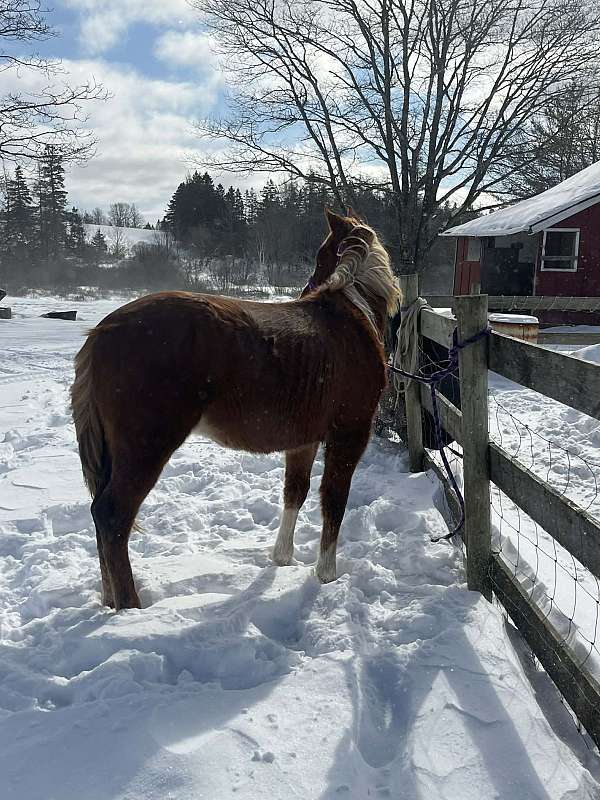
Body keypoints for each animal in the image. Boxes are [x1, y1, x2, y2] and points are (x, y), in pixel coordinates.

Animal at [71, 209, 401, 611]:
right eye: (322, 255)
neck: (351, 317)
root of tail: (102, 332)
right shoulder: (349, 435)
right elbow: (333, 499)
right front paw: (326, 574)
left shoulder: (303, 441)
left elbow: (296, 491)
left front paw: (281, 557)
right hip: (145, 448)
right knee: (113, 517)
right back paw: (131, 606)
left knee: (101, 517)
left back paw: (109, 599)